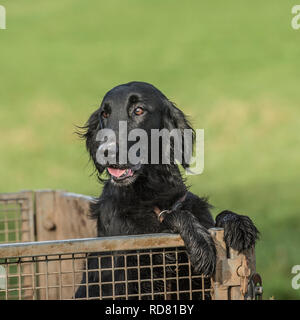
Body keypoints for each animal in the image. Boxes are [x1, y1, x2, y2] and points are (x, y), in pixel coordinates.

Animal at [74, 81, 258, 298]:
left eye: (138, 110)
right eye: (104, 113)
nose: (106, 152)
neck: (152, 198)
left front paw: (238, 224)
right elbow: (176, 216)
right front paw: (201, 243)